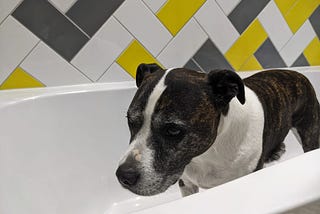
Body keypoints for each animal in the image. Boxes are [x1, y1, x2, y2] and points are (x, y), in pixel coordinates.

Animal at [115, 63, 320, 197]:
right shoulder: (186, 184)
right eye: (130, 121)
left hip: (309, 132)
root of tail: (298, 74)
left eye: (173, 130)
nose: (124, 175)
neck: (209, 154)